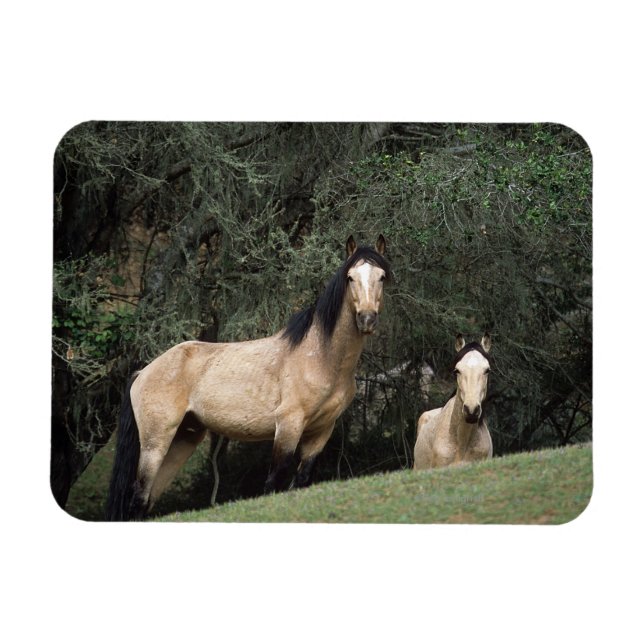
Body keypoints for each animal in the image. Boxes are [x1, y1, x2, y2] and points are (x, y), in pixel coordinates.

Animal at [106, 234, 390, 520]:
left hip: (181, 440)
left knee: (147, 500)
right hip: (155, 443)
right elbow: (273, 484)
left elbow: (301, 482)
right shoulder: (288, 426)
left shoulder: (321, 432)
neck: (321, 356)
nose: (366, 319)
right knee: (138, 497)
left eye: (381, 276)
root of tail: (143, 372)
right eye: (350, 277)